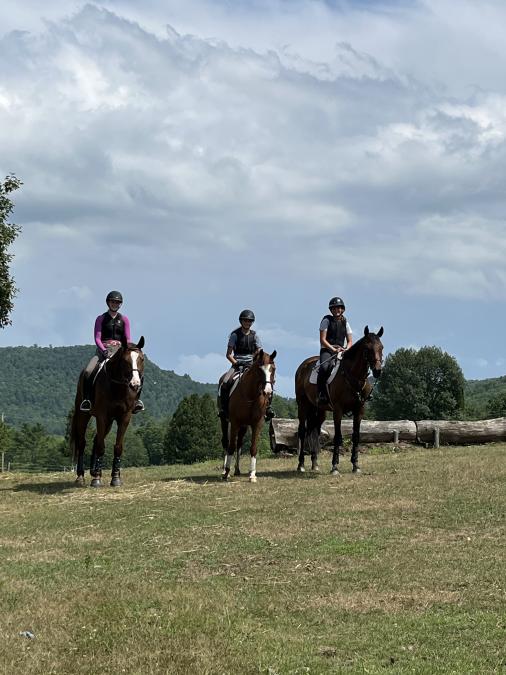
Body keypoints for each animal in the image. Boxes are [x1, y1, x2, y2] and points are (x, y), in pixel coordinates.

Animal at [70, 335, 145, 487]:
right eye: (125, 360)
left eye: (142, 359)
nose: (135, 384)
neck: (117, 387)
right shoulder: (102, 416)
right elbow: (101, 446)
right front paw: (96, 480)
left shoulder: (124, 417)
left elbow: (117, 446)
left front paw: (116, 477)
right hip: (83, 415)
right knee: (82, 442)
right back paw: (81, 476)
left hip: (109, 422)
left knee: (95, 439)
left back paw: (94, 470)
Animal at [219, 350, 277, 482]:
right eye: (259, 370)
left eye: (273, 369)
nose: (267, 391)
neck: (250, 394)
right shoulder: (235, 423)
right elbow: (231, 446)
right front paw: (227, 472)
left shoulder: (257, 423)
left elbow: (253, 448)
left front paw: (252, 474)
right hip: (225, 421)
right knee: (226, 443)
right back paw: (225, 470)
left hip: (244, 426)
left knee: (239, 444)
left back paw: (237, 470)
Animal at [295, 326, 383, 475]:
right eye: (367, 348)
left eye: (381, 347)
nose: (377, 370)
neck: (353, 377)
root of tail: (303, 366)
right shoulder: (338, 410)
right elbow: (337, 437)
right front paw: (335, 466)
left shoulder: (359, 410)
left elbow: (356, 436)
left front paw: (356, 465)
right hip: (303, 406)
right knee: (302, 432)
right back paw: (301, 464)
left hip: (320, 411)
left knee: (315, 431)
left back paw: (315, 463)